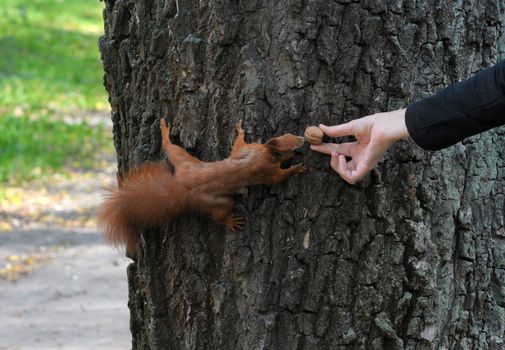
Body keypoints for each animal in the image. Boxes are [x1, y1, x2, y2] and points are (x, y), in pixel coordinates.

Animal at [97, 119, 304, 254]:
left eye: (288, 134)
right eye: (292, 149)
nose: (302, 138)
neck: (265, 152)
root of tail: (182, 187)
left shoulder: (248, 150)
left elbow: (237, 146)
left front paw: (240, 131)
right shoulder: (267, 170)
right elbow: (277, 178)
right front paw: (297, 169)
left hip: (186, 163)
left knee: (171, 149)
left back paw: (164, 133)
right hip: (215, 200)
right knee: (220, 214)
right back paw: (230, 222)